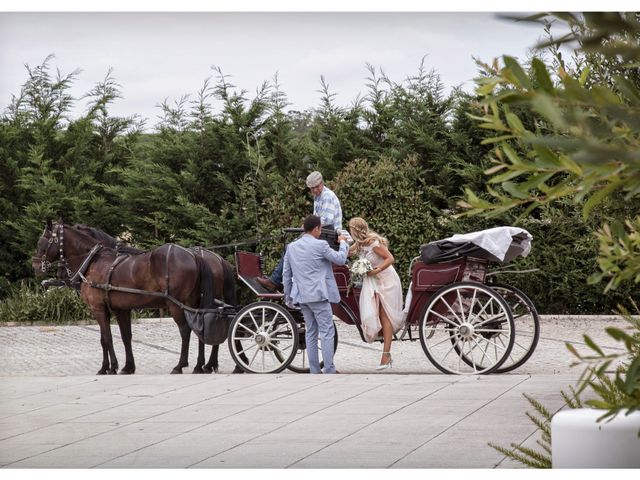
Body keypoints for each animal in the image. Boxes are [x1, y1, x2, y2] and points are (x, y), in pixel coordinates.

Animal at [31, 220, 235, 376]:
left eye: (43, 242)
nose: (35, 265)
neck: (94, 260)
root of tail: (196, 256)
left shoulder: (98, 309)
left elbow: (105, 338)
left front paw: (108, 367)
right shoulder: (122, 309)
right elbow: (125, 337)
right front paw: (127, 367)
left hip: (176, 305)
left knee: (186, 331)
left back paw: (181, 365)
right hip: (195, 303)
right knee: (203, 328)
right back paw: (201, 365)